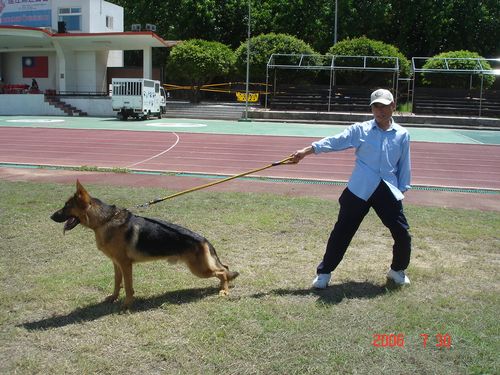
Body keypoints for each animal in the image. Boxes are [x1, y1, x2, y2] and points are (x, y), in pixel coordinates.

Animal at [50, 181, 238, 308]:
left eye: (66, 206)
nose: (51, 216)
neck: (105, 220)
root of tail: (204, 239)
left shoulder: (126, 264)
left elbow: (128, 286)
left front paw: (127, 305)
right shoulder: (116, 264)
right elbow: (117, 283)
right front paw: (113, 298)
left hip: (199, 269)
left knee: (222, 271)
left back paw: (225, 290)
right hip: (201, 268)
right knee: (224, 268)